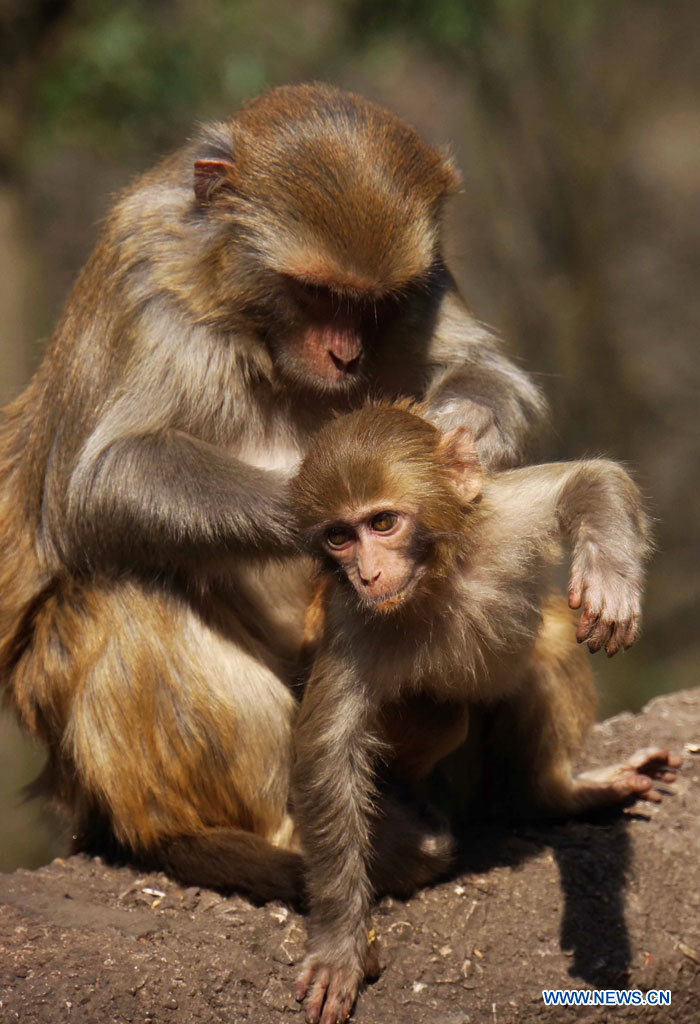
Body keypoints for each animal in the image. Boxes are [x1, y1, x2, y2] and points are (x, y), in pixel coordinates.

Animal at [0, 83, 544, 897]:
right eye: (315, 293)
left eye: (372, 303)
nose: (345, 354)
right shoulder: (148, 288)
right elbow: (99, 482)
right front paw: (318, 506)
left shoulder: (426, 283)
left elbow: (487, 375)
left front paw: (461, 429)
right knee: (116, 589)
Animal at [290, 403, 679, 1024]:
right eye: (339, 537)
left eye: (382, 523)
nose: (367, 574)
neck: (438, 579)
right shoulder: (356, 625)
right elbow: (329, 755)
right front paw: (338, 944)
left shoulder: (500, 522)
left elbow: (587, 479)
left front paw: (609, 576)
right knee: (441, 719)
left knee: (549, 641)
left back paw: (558, 794)